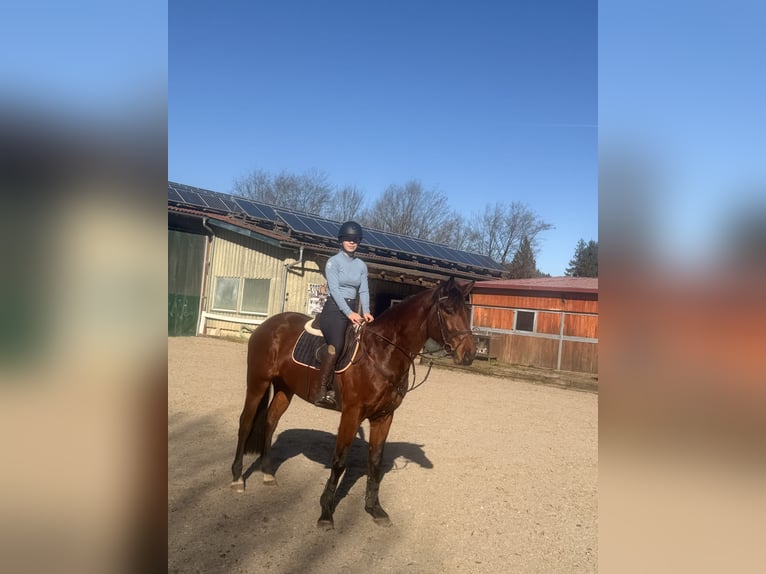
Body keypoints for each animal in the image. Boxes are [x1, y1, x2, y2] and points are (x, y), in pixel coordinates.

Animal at [230, 276, 476, 529]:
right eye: (447, 310)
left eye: (468, 310)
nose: (469, 354)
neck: (382, 353)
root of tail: (268, 325)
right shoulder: (351, 414)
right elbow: (340, 461)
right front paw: (326, 512)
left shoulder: (384, 417)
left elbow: (375, 462)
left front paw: (375, 509)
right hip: (258, 383)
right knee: (246, 423)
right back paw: (238, 478)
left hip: (284, 389)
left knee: (270, 422)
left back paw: (268, 474)